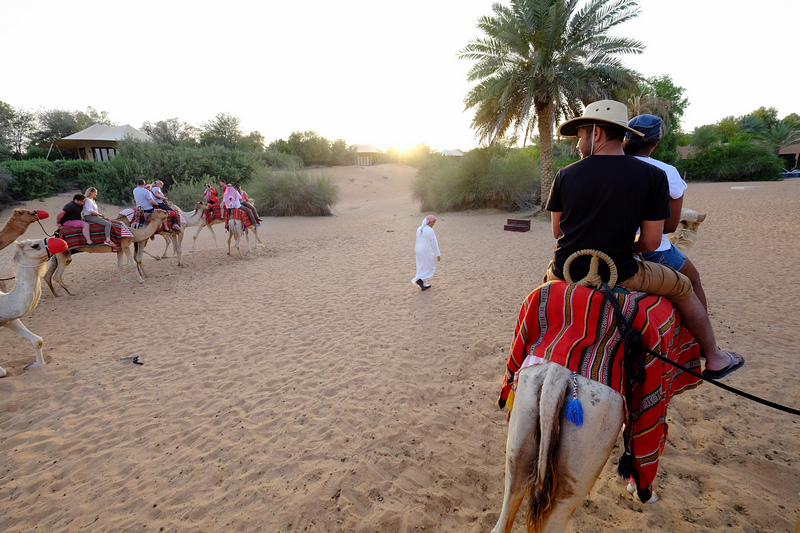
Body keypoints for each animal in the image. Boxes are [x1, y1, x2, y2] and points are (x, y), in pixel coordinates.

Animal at [0, 235, 68, 376]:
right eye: (34, 245)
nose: (61, 242)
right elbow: (2, 372)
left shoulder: (7, 320)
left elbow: (38, 340)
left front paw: (34, 365)